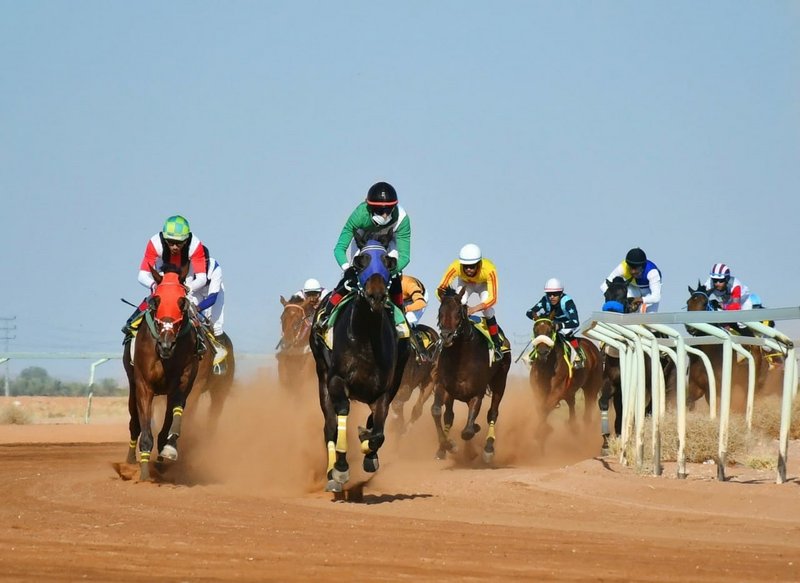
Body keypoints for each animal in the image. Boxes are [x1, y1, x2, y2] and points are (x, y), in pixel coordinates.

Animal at [120, 264, 211, 480]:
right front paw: (144, 474)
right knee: (134, 424)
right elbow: (145, 431)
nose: (166, 344)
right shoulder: (144, 385)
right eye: (156, 301)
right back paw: (130, 463)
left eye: (182, 302)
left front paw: (169, 448)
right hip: (132, 384)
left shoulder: (183, 382)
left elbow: (174, 416)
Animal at [308, 241, 410, 492]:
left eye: (388, 262)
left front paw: (368, 449)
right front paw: (340, 469)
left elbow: (379, 432)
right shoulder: (337, 380)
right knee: (330, 426)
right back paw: (331, 474)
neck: (366, 339)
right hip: (322, 377)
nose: (376, 295)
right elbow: (341, 416)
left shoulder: (385, 390)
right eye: (360, 262)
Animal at [434, 288, 510, 466]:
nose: (446, 336)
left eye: (458, 313)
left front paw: (470, 446)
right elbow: (437, 412)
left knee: (493, 413)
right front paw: (447, 445)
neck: (461, 356)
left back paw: (488, 449)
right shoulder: (443, 386)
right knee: (449, 416)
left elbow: (467, 432)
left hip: (500, 381)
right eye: (440, 312)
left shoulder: (477, 394)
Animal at [528, 314, 604, 448]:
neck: (546, 367)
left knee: (587, 416)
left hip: (592, 388)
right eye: (535, 330)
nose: (542, 352)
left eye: (550, 330)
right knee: (572, 407)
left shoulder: (556, 391)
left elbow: (545, 408)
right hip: (570, 391)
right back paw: (574, 428)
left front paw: (543, 432)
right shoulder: (538, 391)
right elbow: (541, 409)